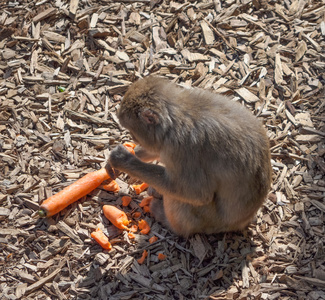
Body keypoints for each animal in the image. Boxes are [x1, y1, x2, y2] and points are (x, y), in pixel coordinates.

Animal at [108, 75, 270, 237]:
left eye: (132, 131)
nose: (134, 139)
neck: (175, 117)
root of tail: (243, 222)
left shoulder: (183, 149)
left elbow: (196, 193)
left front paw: (123, 160)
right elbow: (157, 150)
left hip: (209, 221)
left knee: (182, 198)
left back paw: (165, 218)